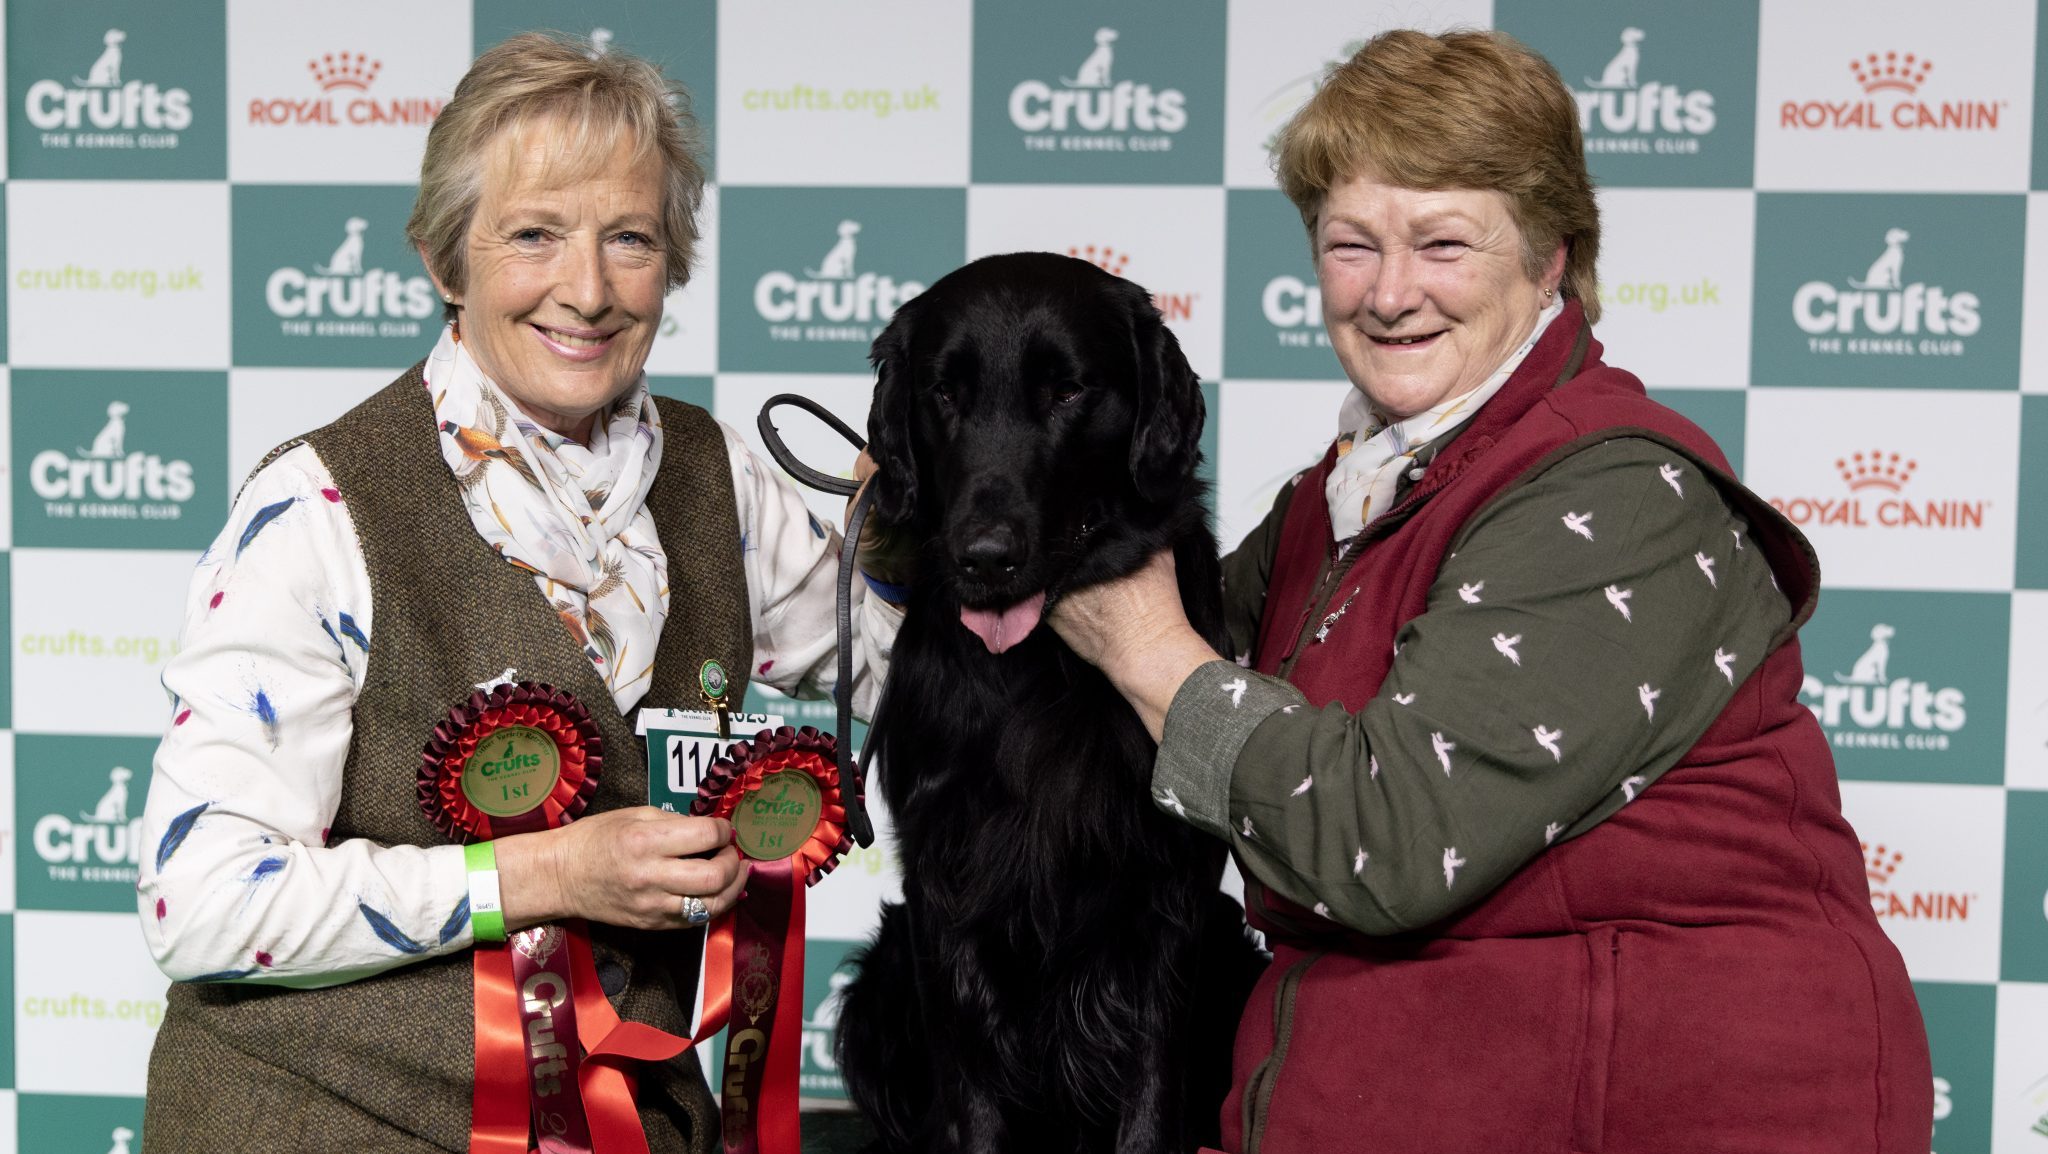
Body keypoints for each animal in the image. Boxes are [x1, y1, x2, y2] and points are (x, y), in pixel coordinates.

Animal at [835, 253, 1261, 1154]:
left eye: (1068, 393)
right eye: (945, 393)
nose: (985, 558)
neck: (1037, 671)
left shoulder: (1167, 888)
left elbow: (1150, 1084)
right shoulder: (944, 878)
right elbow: (971, 1092)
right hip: (881, 976)